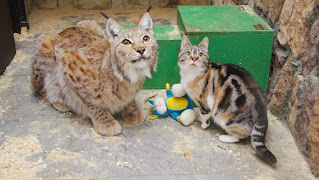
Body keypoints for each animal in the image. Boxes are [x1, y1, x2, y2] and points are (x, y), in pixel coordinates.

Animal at [31, 11, 159, 135]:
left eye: (146, 38)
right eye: (126, 42)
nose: (141, 49)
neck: (129, 74)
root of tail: (66, 29)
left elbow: (129, 98)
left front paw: (132, 111)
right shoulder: (68, 60)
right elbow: (92, 101)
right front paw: (106, 123)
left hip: (89, 23)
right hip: (46, 41)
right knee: (39, 89)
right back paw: (59, 101)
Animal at [178, 35, 278, 165]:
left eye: (200, 54)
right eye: (188, 53)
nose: (194, 59)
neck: (192, 75)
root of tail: (262, 111)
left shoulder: (204, 102)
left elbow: (205, 114)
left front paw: (204, 125)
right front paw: (200, 119)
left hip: (226, 118)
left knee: (244, 133)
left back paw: (225, 137)